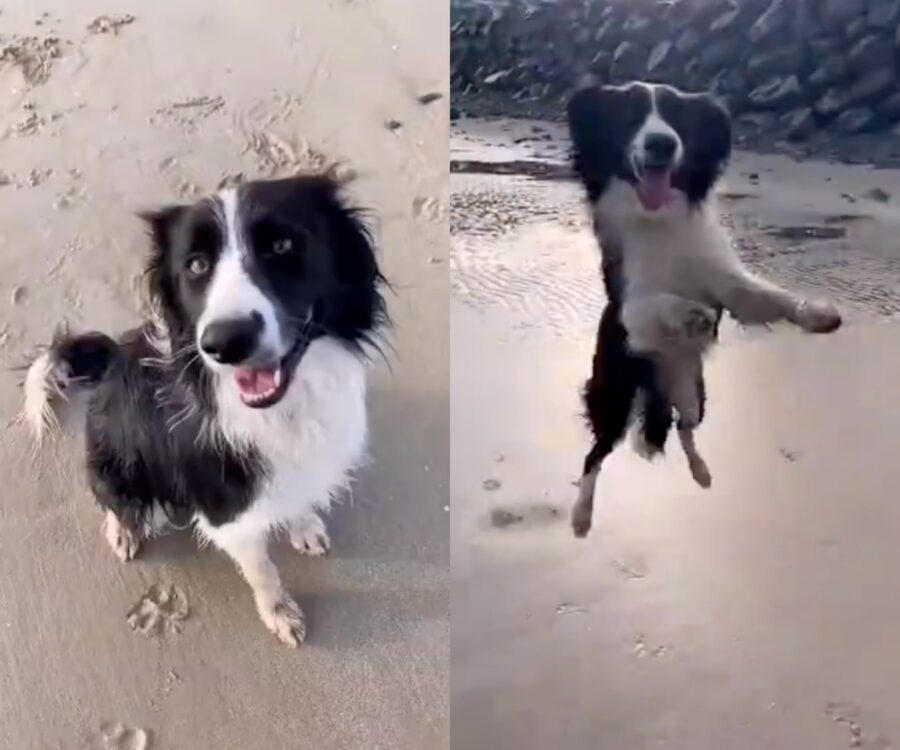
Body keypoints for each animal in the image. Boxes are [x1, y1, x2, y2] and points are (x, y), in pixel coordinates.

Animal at [22, 175, 384, 648]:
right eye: (195, 265)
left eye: (282, 245)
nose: (226, 342)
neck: (283, 409)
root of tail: (111, 359)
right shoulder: (226, 511)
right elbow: (262, 570)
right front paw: (279, 612)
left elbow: (297, 497)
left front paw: (303, 525)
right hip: (115, 462)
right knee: (113, 499)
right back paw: (123, 529)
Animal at [568, 82, 844, 536]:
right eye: (630, 115)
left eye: (678, 118)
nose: (662, 143)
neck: (658, 218)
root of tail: (663, 383)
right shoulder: (630, 307)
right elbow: (655, 304)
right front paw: (690, 314)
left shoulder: (724, 280)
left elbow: (767, 295)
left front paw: (816, 313)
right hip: (615, 394)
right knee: (597, 452)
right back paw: (581, 514)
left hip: (695, 393)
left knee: (685, 427)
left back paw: (701, 473)